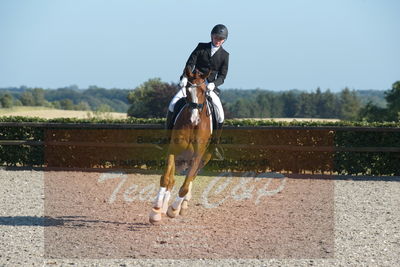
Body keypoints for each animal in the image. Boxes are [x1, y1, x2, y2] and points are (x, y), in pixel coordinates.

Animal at [149, 67, 214, 224]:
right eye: (187, 90)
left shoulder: (197, 157)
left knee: (190, 180)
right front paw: (156, 210)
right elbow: (166, 179)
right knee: (171, 180)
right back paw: (163, 208)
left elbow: (185, 186)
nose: (194, 119)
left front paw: (173, 210)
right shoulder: (173, 151)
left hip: (202, 160)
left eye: (204, 91)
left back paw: (181, 206)